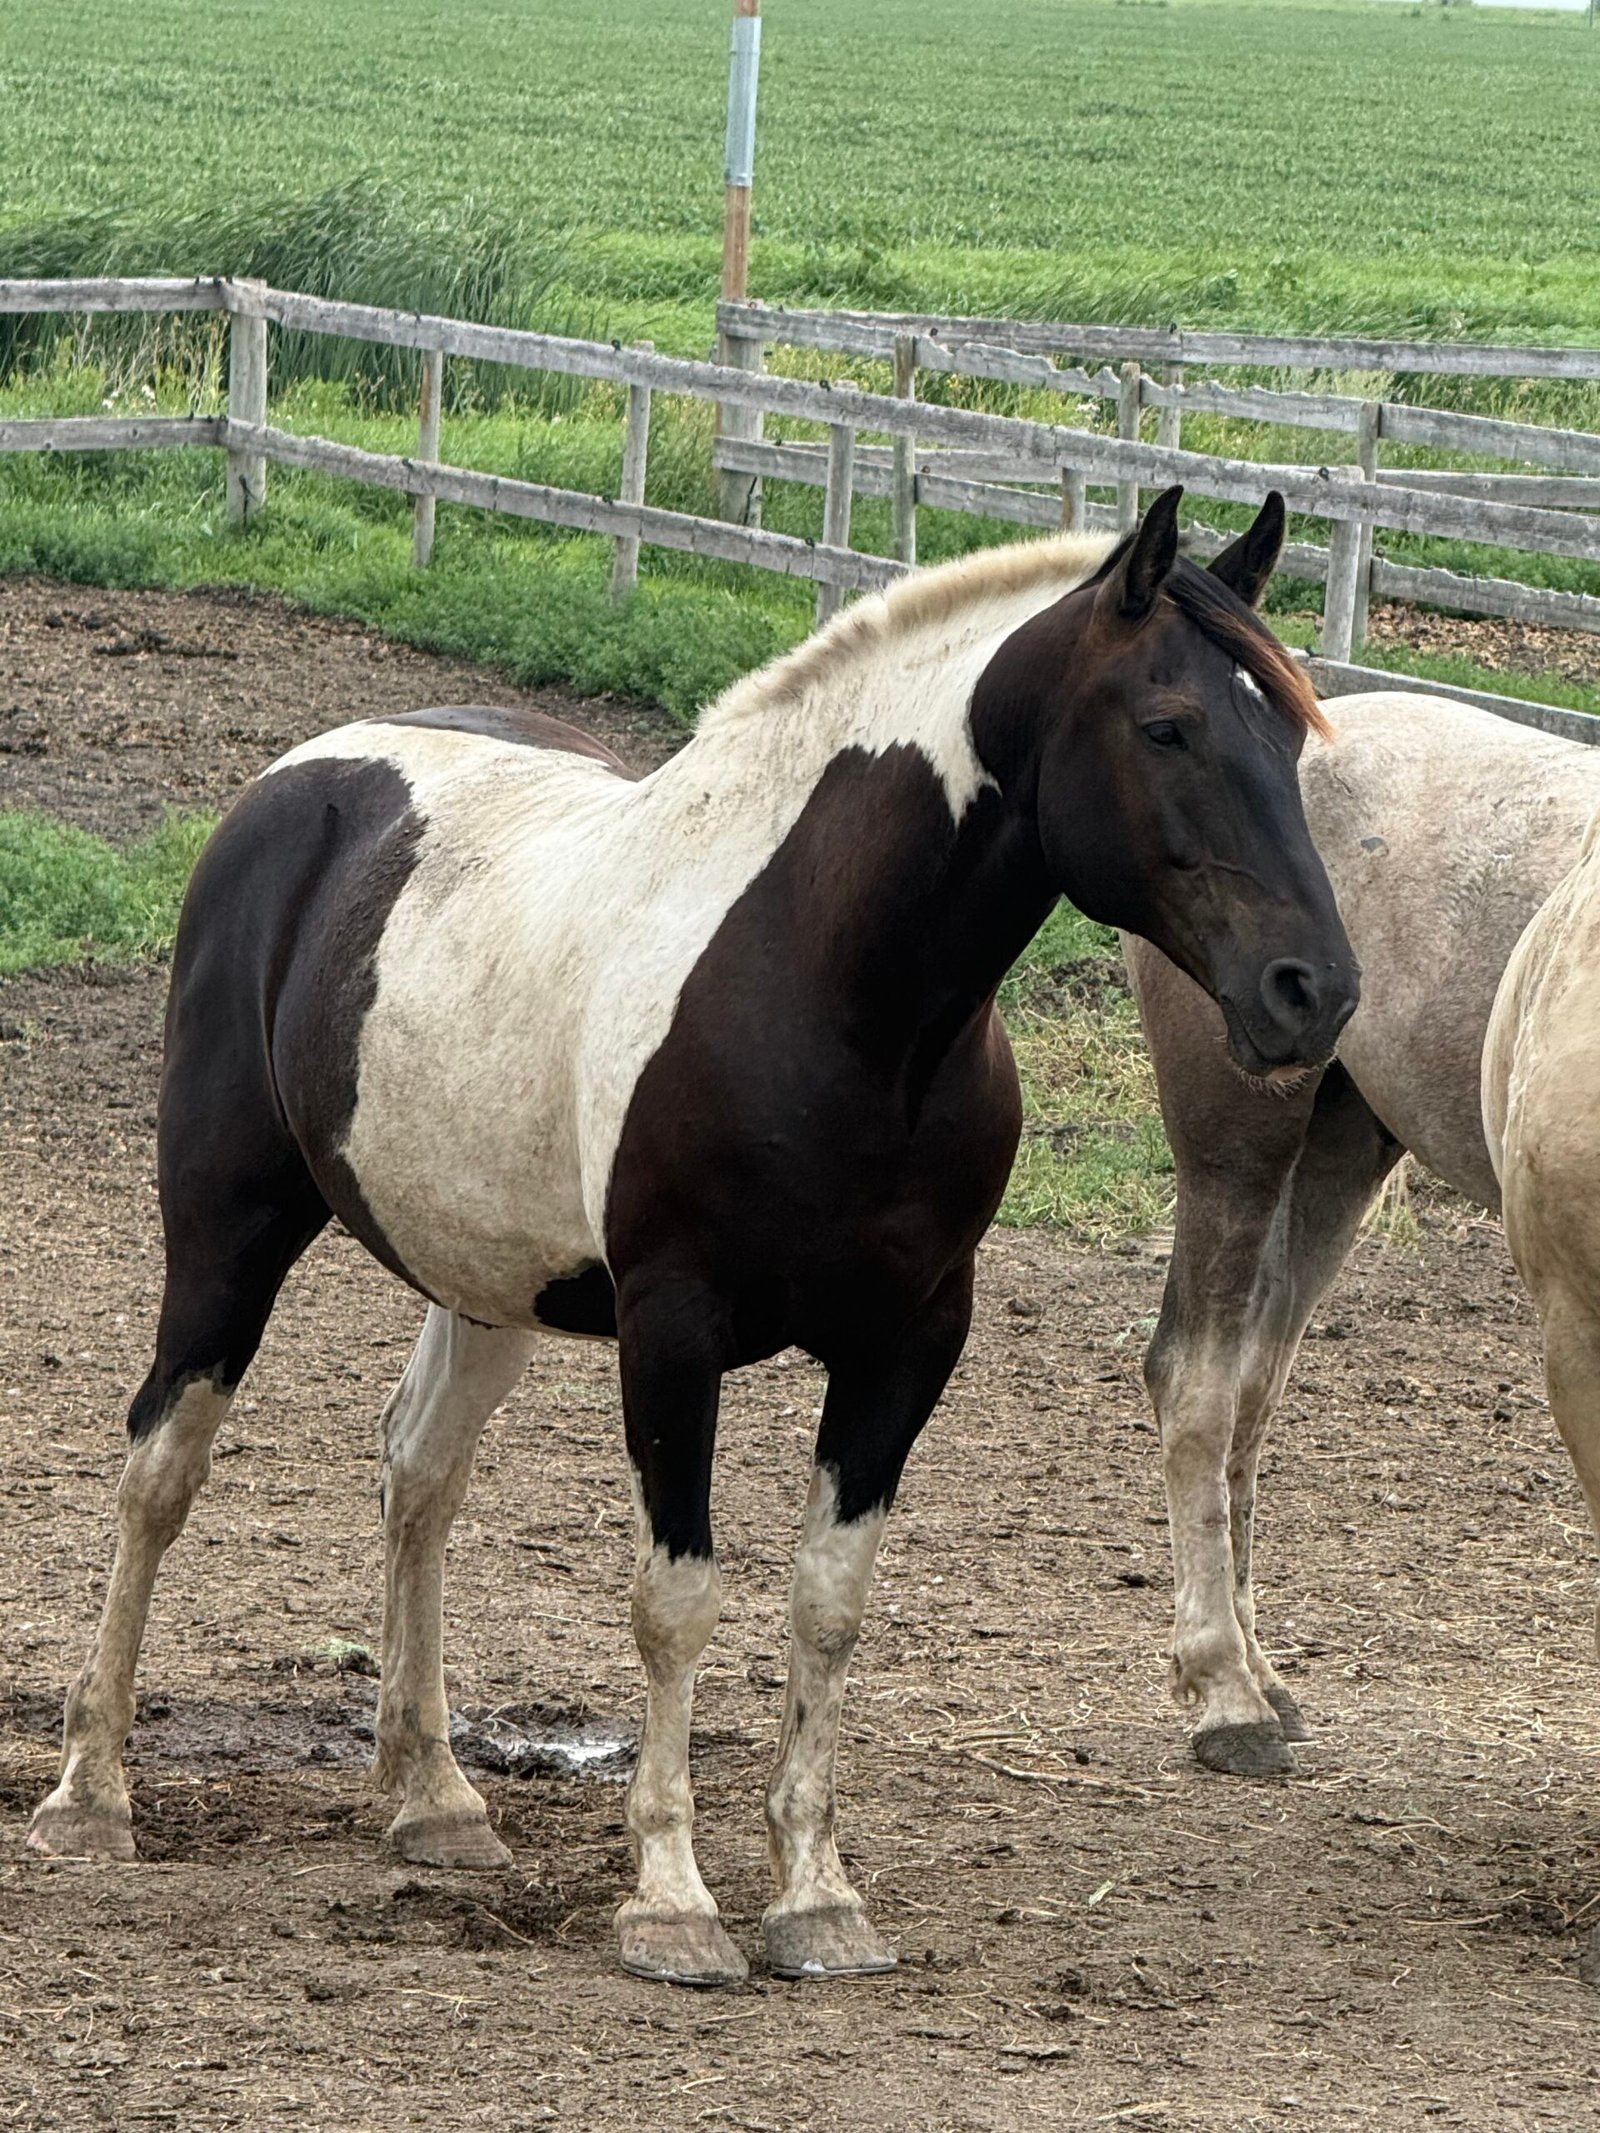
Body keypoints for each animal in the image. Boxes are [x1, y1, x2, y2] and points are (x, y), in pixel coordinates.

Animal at [28, 489, 1356, 1987]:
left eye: (1288, 736)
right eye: (1169, 726)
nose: (1313, 991)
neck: (830, 991)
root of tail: (301, 779)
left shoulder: (910, 1344)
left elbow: (826, 1605)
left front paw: (816, 1900)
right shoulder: (673, 1335)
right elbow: (677, 1603)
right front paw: (670, 1902)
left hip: (485, 1281)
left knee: (418, 1478)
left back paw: (433, 1798)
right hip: (226, 1232)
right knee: (159, 1468)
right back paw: (90, 1794)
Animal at [1126, 690, 1600, 1776]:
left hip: (1339, 1154)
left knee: (1252, 1390)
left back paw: (1261, 1677)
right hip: (1239, 1144)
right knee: (1197, 1382)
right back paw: (1227, 1700)